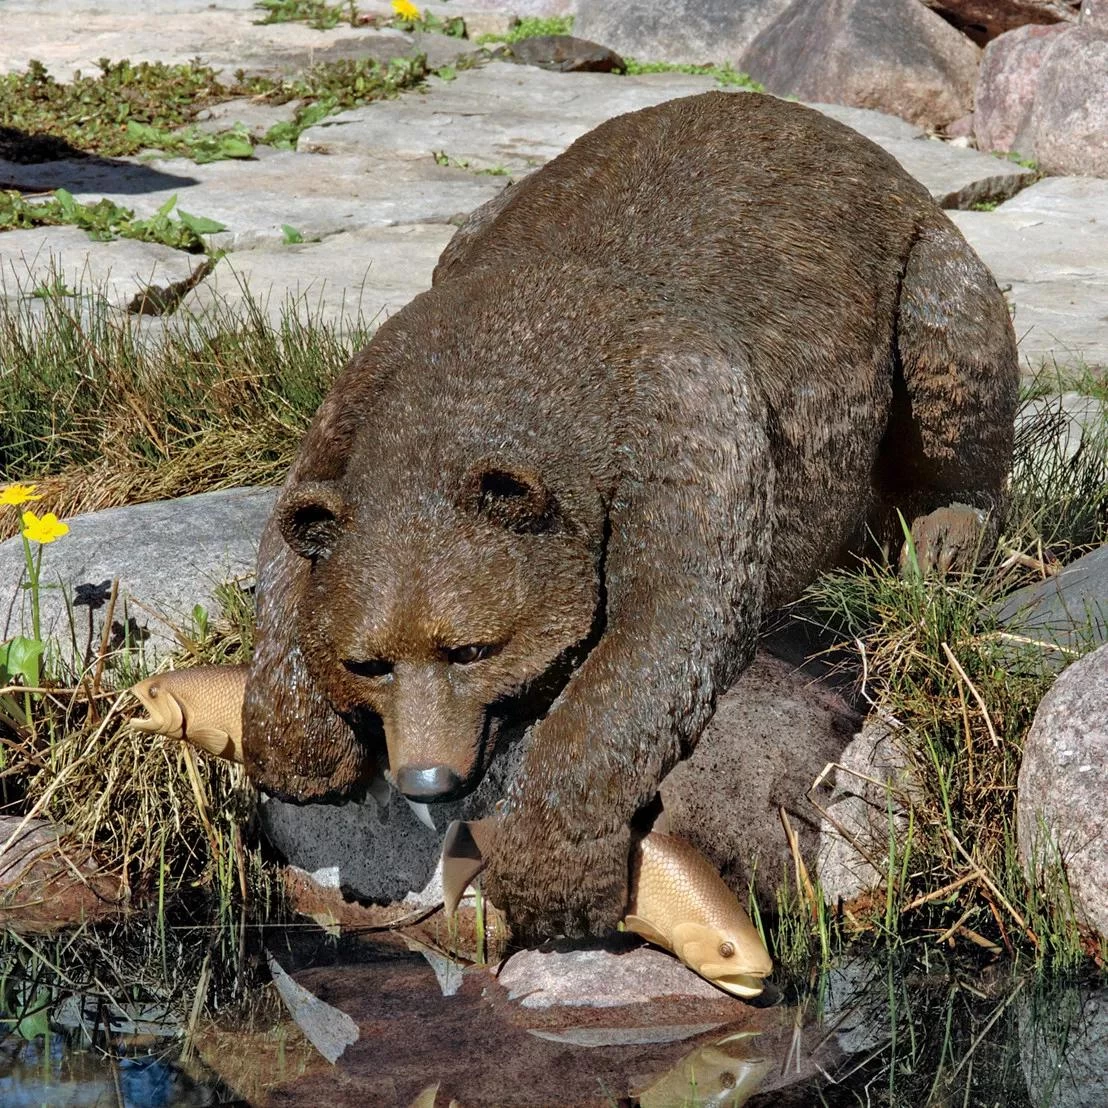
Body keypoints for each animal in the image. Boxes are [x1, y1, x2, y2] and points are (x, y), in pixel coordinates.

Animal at [242, 91, 1019, 939]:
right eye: (369, 661)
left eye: (472, 649)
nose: (426, 778)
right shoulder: (356, 399)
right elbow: (286, 545)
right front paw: (303, 748)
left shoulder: (688, 424)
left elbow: (666, 632)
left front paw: (552, 877)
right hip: (473, 223)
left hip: (922, 265)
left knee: (953, 357)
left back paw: (941, 540)